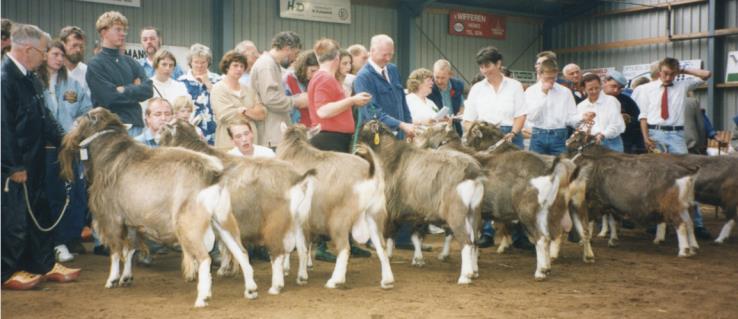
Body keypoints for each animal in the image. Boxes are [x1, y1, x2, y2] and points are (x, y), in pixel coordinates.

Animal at [59, 109, 258, 308]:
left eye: (81, 119)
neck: (109, 155)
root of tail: (213, 173)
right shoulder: (131, 220)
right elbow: (129, 249)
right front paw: (126, 278)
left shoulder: (111, 217)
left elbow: (116, 251)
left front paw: (112, 280)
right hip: (223, 219)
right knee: (241, 252)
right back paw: (251, 290)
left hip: (189, 224)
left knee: (204, 258)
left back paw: (202, 298)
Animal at [157, 120, 314, 296]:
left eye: (164, 132)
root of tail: (297, 178)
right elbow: (224, 245)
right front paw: (225, 269)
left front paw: (198, 272)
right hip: (299, 219)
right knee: (302, 247)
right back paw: (302, 277)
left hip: (276, 220)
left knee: (278, 252)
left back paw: (276, 286)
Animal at [276, 124, 394, 292]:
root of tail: (370, 173)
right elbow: (302, 246)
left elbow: (297, 245)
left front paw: (296, 273)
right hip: (374, 213)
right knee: (381, 246)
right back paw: (387, 280)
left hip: (339, 219)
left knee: (344, 248)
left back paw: (335, 280)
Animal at [356, 120, 484, 284]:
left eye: (364, 128)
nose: (356, 150)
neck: (390, 156)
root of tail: (473, 172)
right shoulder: (417, 209)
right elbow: (415, 235)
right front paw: (418, 259)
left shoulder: (390, 207)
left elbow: (390, 232)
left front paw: (388, 255)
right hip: (474, 212)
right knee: (475, 240)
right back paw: (475, 271)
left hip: (457, 214)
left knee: (466, 242)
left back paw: (465, 276)